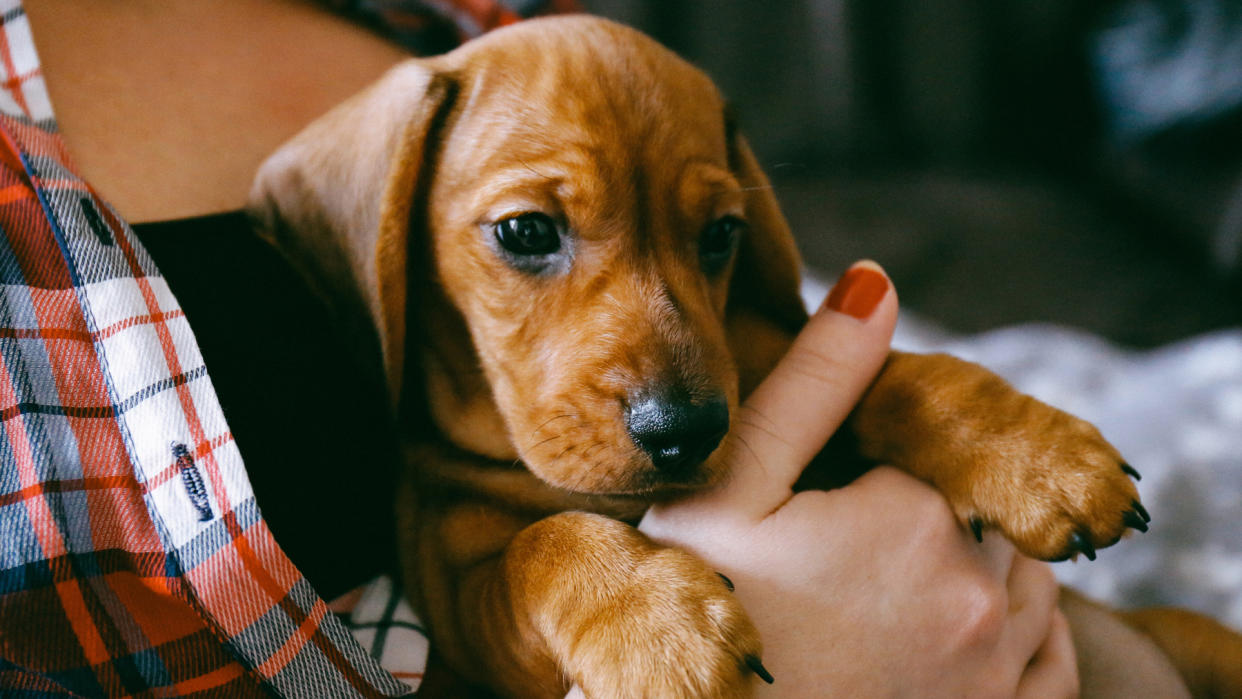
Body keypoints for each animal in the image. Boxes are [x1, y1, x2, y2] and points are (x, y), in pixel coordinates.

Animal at [252, 16, 1242, 699]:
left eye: (721, 234)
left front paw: (1036, 456)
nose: (686, 431)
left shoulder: (770, 361)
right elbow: (545, 542)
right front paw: (656, 624)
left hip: (1199, 638)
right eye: (526, 232)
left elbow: (905, 375)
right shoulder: (462, 605)